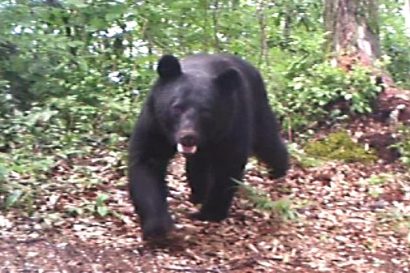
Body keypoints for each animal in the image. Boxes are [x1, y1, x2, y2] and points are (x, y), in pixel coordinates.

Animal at [128, 52, 288, 238]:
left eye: (206, 111)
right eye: (177, 107)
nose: (188, 137)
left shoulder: (232, 121)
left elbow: (228, 164)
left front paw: (209, 213)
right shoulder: (155, 122)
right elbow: (148, 161)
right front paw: (158, 228)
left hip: (257, 105)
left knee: (267, 140)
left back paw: (279, 170)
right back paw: (198, 195)